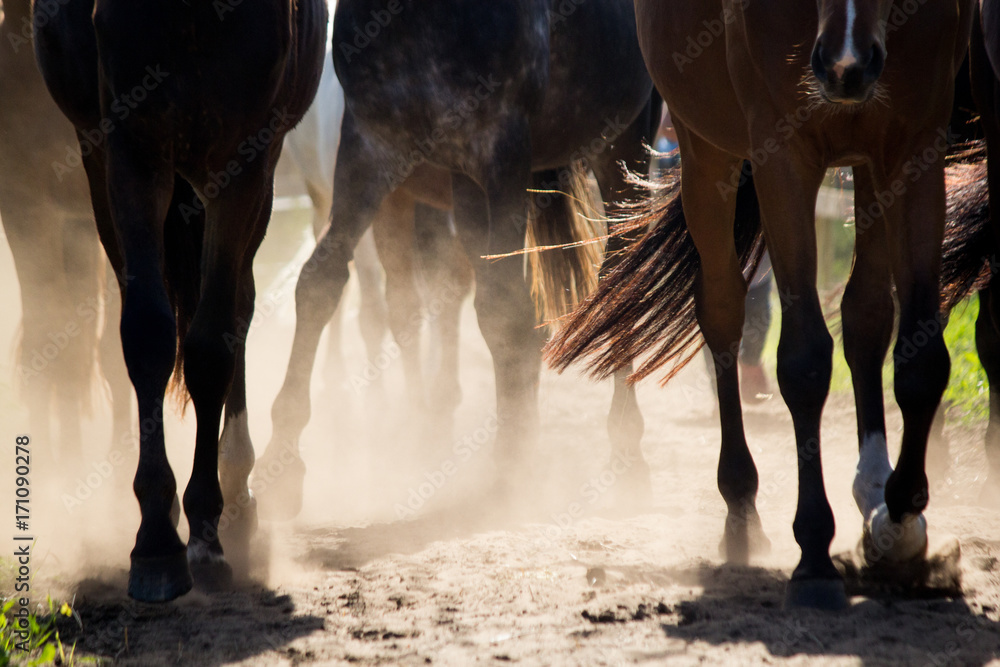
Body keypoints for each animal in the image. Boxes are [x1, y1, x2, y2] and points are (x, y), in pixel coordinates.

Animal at [34, 0, 327, 602]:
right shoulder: (130, 150)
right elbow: (148, 332)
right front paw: (156, 537)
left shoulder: (244, 159)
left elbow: (213, 342)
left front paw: (207, 531)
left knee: (238, 304)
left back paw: (235, 494)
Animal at [251, 0, 660, 520]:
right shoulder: (371, 145)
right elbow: (320, 281)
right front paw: (279, 465)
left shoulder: (501, 148)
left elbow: (506, 311)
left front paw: (513, 465)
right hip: (464, 187)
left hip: (620, 147)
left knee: (616, 276)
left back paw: (626, 452)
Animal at [547, 0, 974, 609]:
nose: (845, 65)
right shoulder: (783, 155)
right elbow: (804, 362)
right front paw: (815, 550)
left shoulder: (914, 147)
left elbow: (922, 363)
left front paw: (900, 523)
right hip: (707, 152)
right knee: (723, 311)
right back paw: (742, 508)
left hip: (866, 162)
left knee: (866, 315)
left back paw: (871, 493)